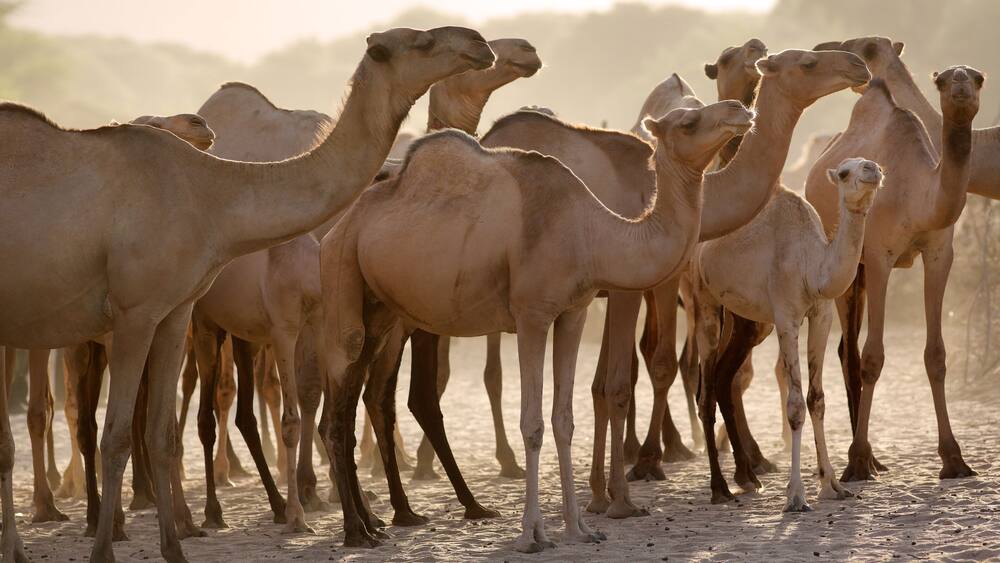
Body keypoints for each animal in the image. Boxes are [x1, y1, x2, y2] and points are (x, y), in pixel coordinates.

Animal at [0, 26, 495, 563]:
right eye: (420, 41)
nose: (479, 43)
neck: (209, 194)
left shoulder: (174, 311)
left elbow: (161, 433)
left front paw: (175, 548)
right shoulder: (134, 312)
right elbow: (116, 437)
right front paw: (105, 550)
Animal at [320, 99, 754, 550]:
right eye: (688, 121)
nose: (740, 110)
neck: (591, 233)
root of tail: (340, 225)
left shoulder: (573, 312)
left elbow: (564, 419)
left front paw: (580, 528)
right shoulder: (532, 315)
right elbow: (532, 423)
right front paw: (532, 533)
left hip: (382, 309)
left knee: (354, 397)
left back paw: (374, 522)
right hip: (341, 270)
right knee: (338, 397)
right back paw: (357, 530)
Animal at [692, 157, 881, 508]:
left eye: (868, 163)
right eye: (844, 172)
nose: (872, 168)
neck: (813, 266)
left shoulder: (821, 315)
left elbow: (816, 399)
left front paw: (832, 485)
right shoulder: (787, 316)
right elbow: (795, 405)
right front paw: (795, 495)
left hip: (747, 319)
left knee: (724, 377)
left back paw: (748, 477)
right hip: (703, 298)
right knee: (706, 391)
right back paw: (719, 488)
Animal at [804, 67, 984, 482]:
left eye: (978, 77)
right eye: (943, 80)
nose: (961, 81)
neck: (916, 195)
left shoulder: (940, 254)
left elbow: (936, 355)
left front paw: (954, 459)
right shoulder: (879, 255)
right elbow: (873, 357)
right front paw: (856, 461)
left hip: (860, 273)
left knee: (846, 348)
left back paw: (875, 458)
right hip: (848, 266)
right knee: (851, 352)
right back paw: (863, 458)